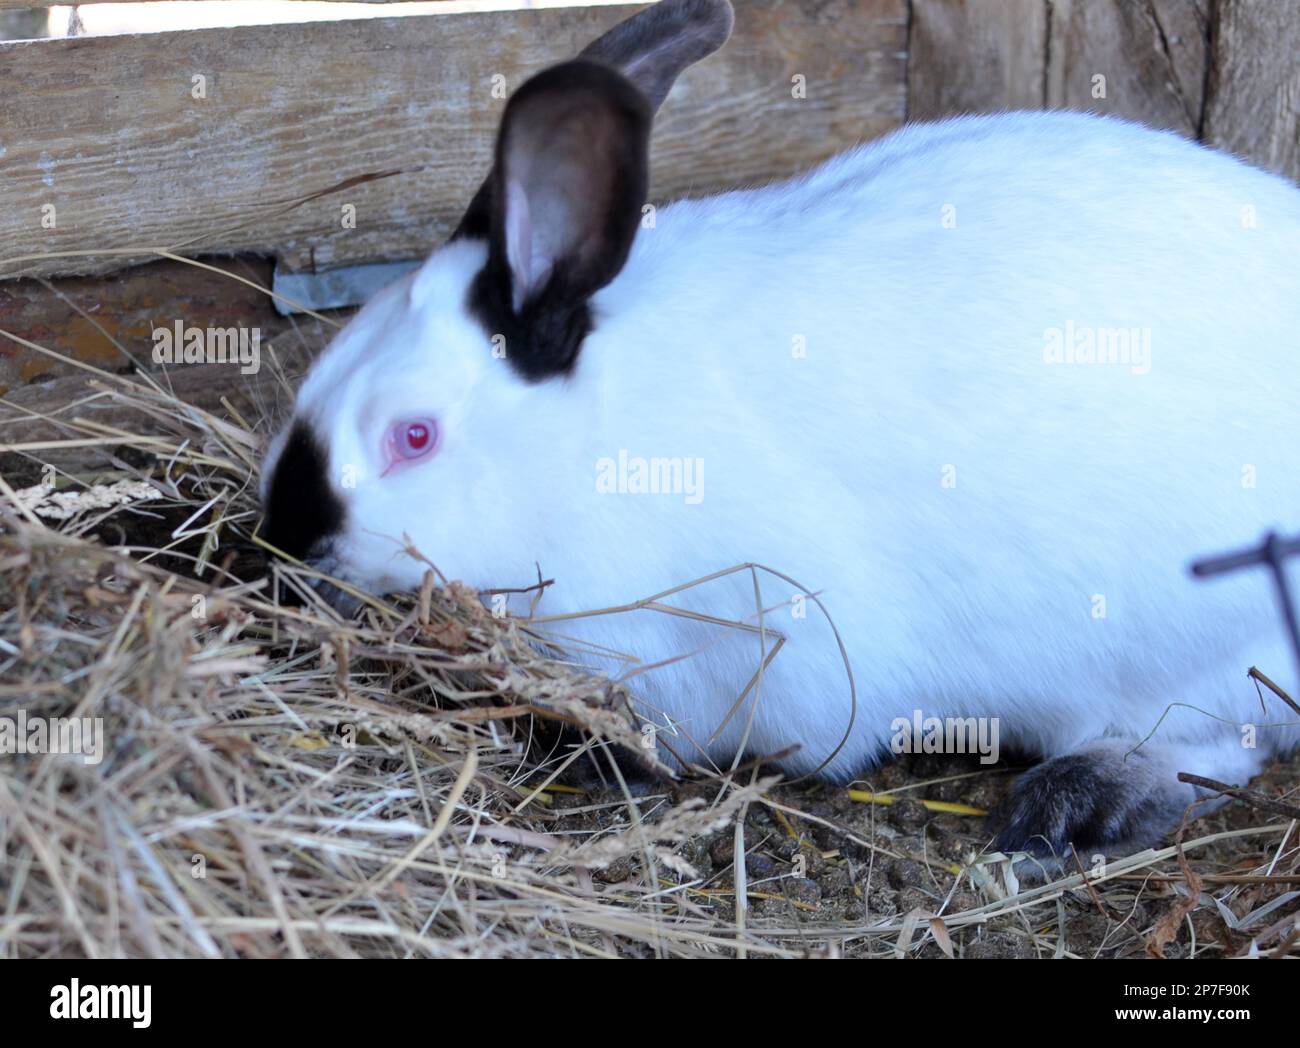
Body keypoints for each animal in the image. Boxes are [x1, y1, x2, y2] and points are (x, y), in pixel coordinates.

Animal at [261, 0, 1300, 866]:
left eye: (414, 438)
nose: (280, 538)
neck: (586, 447)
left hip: (1183, 646)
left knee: (1215, 741)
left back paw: (1081, 800)